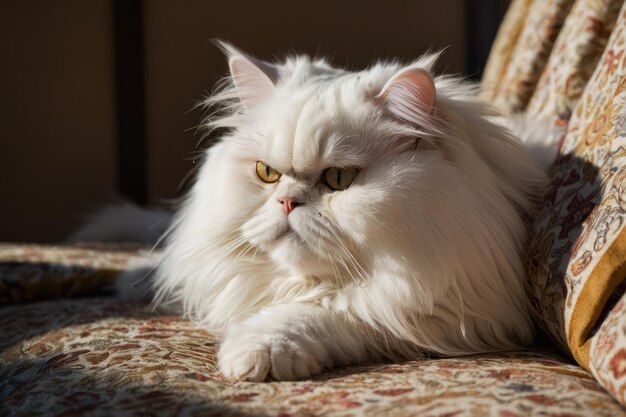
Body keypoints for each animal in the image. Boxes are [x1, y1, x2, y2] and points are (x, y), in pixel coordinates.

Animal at [112, 44, 556, 380]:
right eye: (267, 174)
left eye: (338, 178)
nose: (287, 201)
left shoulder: (442, 310)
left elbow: (321, 314)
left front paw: (256, 352)